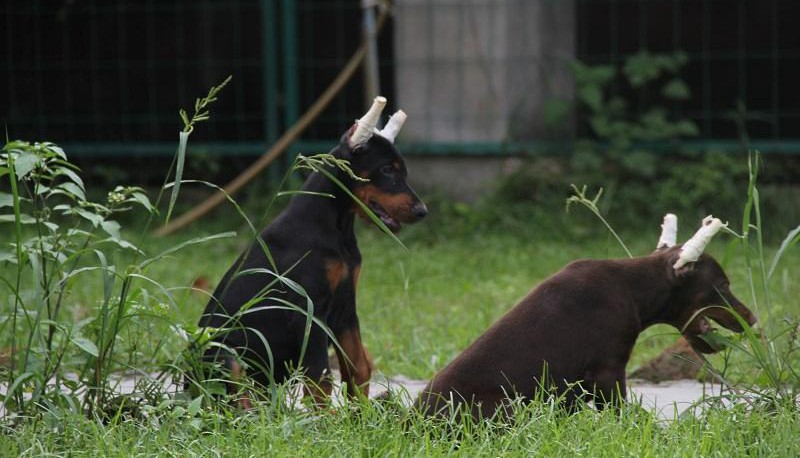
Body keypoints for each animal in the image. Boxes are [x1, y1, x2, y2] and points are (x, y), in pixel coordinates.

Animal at [198, 97, 428, 404]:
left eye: (403, 170)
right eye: (387, 170)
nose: (422, 211)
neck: (338, 228)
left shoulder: (345, 308)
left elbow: (359, 366)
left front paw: (360, 411)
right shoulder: (310, 310)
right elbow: (320, 377)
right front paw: (327, 415)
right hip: (225, 352)